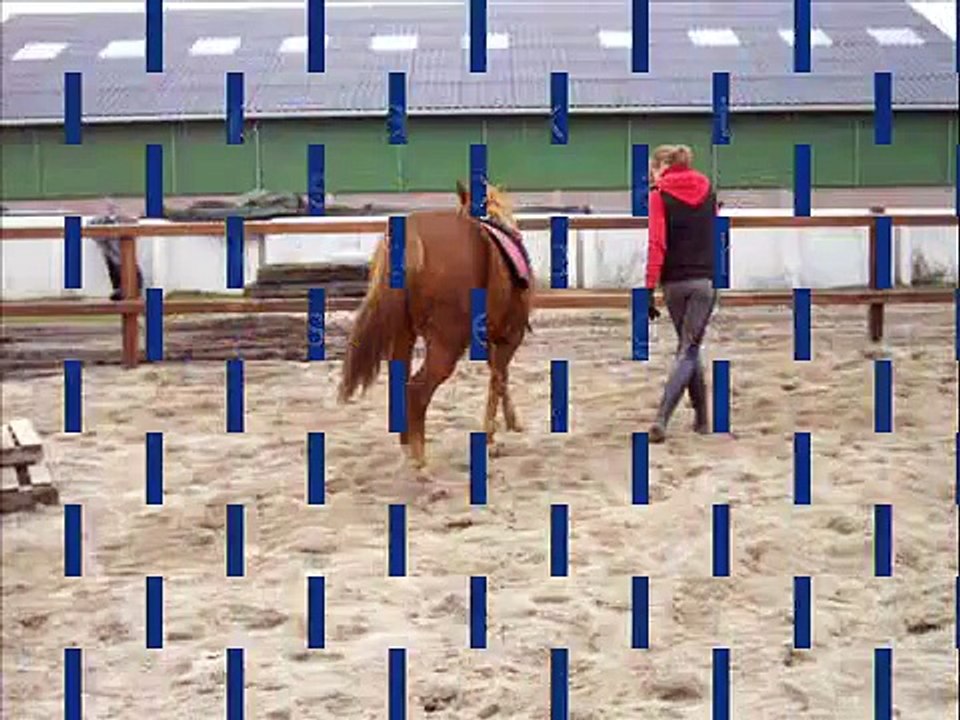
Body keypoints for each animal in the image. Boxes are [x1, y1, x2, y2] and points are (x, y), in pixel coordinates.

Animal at [337, 181, 534, 469]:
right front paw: (491, 437)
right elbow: (498, 378)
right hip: (446, 343)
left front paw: (511, 423)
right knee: (417, 390)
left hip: (403, 335)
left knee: (401, 384)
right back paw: (420, 461)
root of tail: (412, 237)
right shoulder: (511, 335)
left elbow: (499, 377)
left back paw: (407, 445)